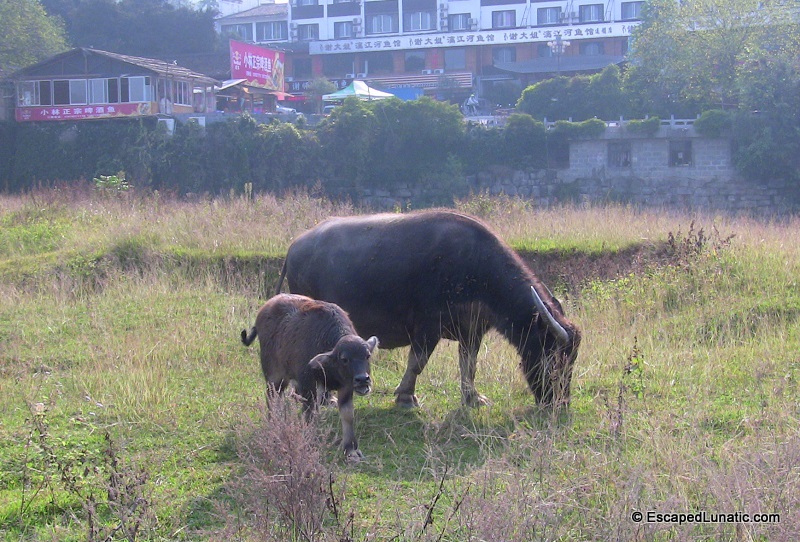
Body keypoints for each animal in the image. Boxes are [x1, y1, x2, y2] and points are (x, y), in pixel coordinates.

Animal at [241, 293, 379, 460]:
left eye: (367, 355)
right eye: (344, 359)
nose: (362, 379)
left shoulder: (345, 387)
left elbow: (347, 415)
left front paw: (351, 449)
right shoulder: (308, 385)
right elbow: (309, 414)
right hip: (274, 376)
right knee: (272, 398)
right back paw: (273, 424)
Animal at [274, 210, 581, 409]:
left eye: (572, 360)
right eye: (554, 360)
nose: (561, 403)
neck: (477, 270)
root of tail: (293, 248)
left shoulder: (472, 331)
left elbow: (468, 364)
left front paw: (473, 398)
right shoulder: (427, 328)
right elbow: (417, 362)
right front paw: (406, 397)